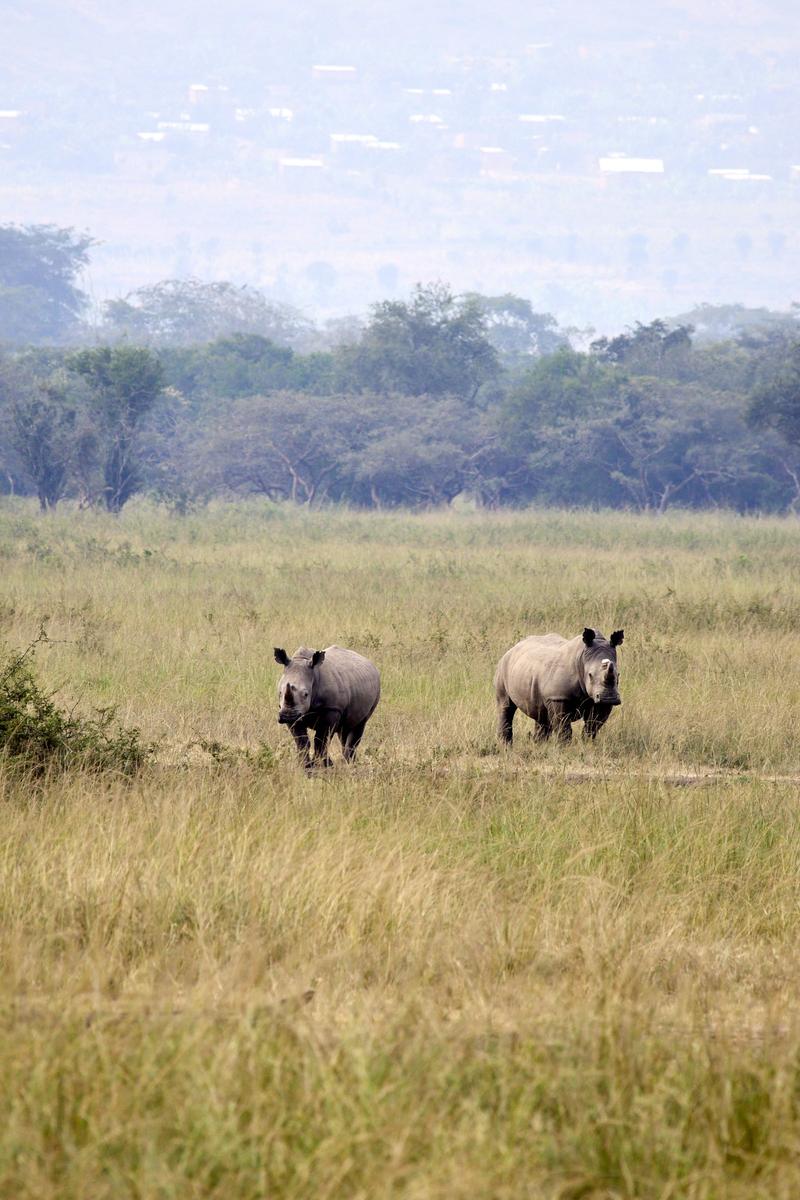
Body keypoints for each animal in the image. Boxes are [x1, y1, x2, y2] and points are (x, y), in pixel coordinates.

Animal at [494, 624, 623, 744]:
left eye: (618, 675)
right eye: (590, 675)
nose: (609, 698)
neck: (582, 658)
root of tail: (513, 648)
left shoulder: (598, 700)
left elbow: (592, 726)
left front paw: (587, 744)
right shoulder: (558, 697)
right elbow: (563, 727)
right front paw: (565, 747)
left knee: (541, 715)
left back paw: (539, 746)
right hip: (503, 665)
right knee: (505, 706)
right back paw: (506, 747)